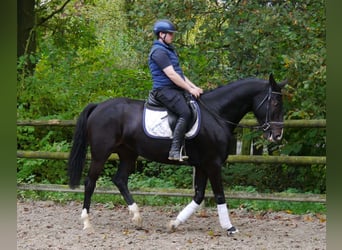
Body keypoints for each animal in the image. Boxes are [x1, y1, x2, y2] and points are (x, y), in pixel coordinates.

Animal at [67, 73, 286, 235]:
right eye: (275, 102)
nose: (277, 135)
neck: (216, 114)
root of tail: (99, 106)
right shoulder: (213, 164)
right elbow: (219, 195)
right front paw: (230, 227)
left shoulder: (202, 165)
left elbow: (198, 196)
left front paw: (174, 223)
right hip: (100, 154)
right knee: (90, 182)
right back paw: (87, 222)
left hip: (128, 154)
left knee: (120, 180)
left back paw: (137, 217)